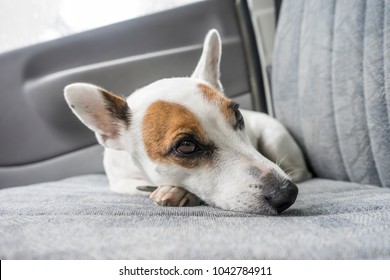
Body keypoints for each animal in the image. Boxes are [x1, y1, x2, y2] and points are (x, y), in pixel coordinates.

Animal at [65, 29, 312, 214]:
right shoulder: (121, 182)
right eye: (186, 146)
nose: (286, 192)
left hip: (274, 138)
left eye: (238, 116)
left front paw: (180, 192)